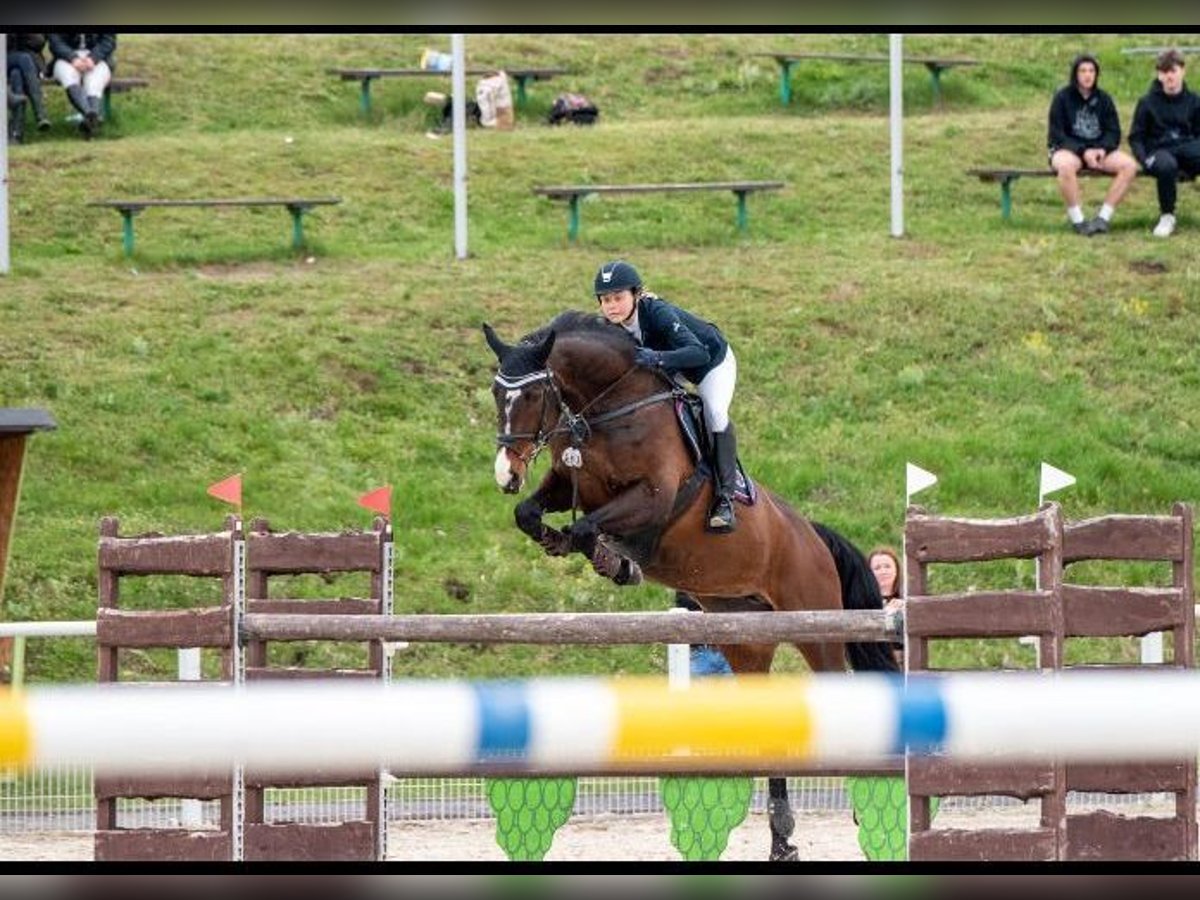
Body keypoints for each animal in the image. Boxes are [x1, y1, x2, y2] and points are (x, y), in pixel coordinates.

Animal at [482, 314, 897, 864]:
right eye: (495, 391)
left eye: (531, 395)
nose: (506, 473)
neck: (607, 410)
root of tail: (811, 532)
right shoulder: (572, 483)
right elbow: (529, 513)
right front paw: (570, 544)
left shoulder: (653, 498)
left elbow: (590, 527)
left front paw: (614, 561)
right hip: (745, 639)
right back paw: (781, 839)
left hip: (818, 628)